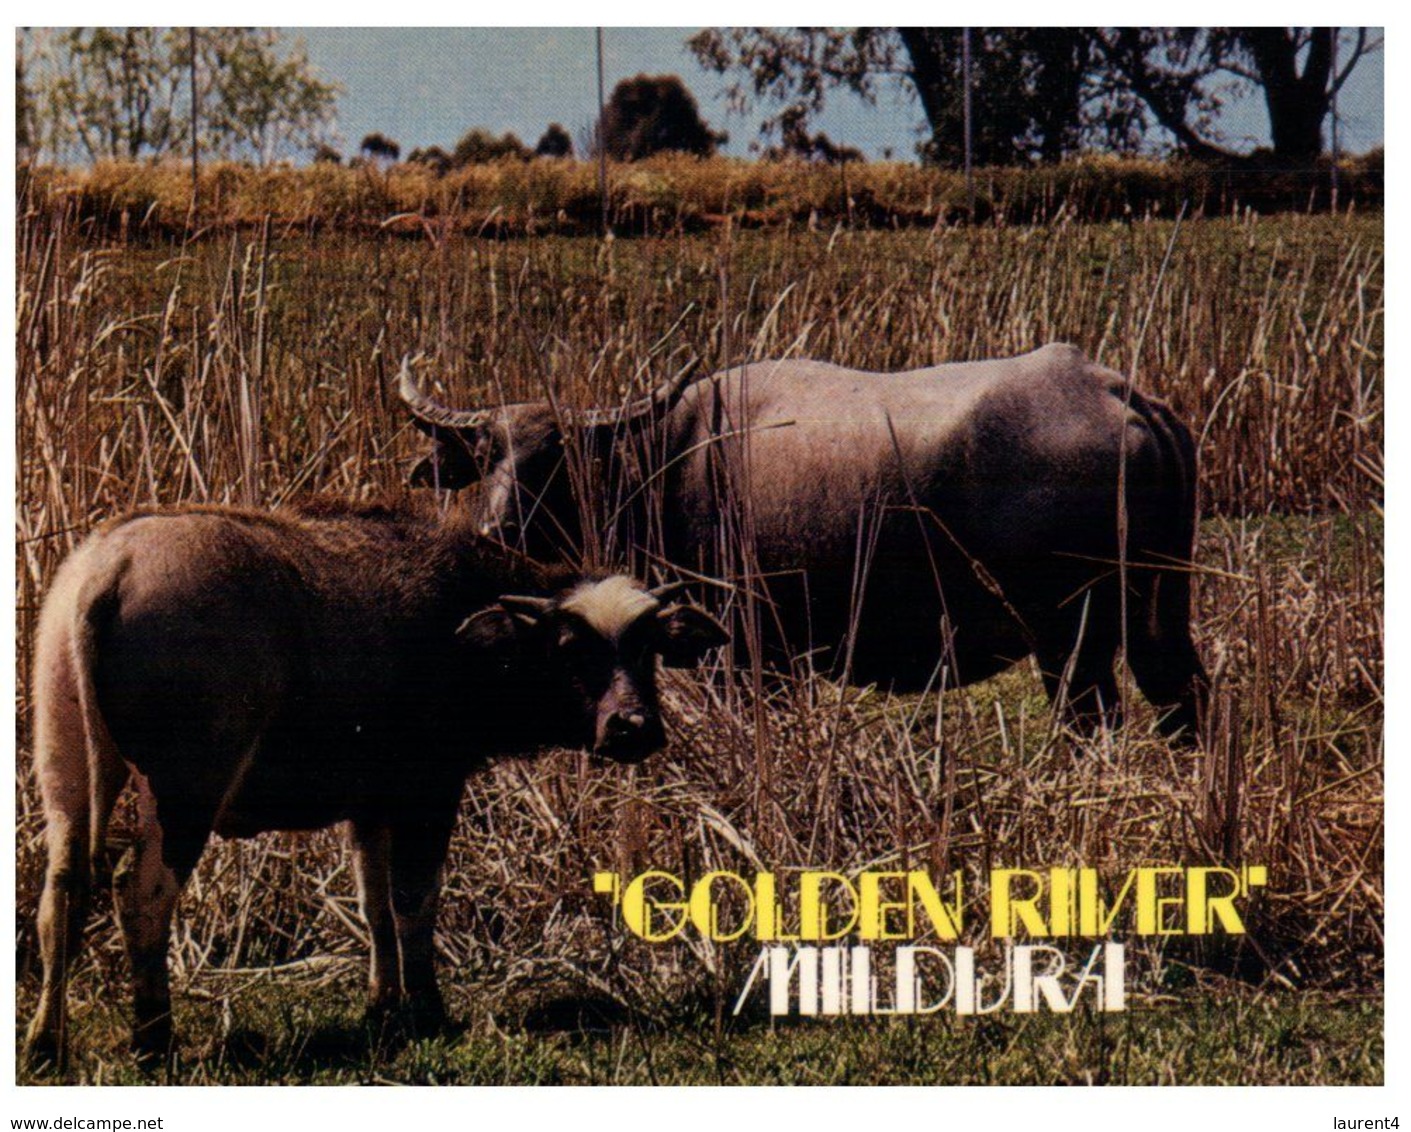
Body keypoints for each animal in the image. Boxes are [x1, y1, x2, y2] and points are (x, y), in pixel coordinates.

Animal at [22, 494, 728, 1061]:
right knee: (140, 891)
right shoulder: (429, 791)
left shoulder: (370, 804)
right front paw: (428, 1010)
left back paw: (46, 1042)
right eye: (571, 649)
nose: (632, 727)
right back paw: (153, 1037)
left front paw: (383, 1005)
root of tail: (109, 568)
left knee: (60, 895)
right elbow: (414, 899)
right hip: (184, 787)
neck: (457, 628)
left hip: (64, 773)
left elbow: (374, 903)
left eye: (645, 647)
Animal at [403, 340, 1207, 733]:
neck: (672, 460)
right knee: (1179, 695)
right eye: (486, 455)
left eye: (557, 457)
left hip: (1068, 631)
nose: (497, 526)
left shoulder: (747, 653)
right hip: (1159, 609)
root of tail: (1113, 391)